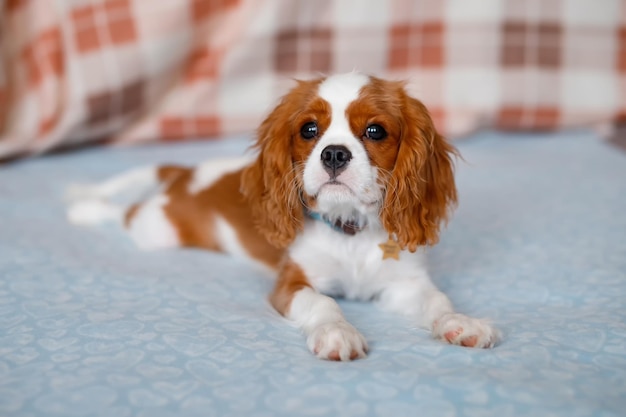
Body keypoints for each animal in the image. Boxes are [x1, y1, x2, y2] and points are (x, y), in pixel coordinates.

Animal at [67, 72, 498, 360]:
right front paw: (337, 333)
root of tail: (187, 172)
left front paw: (462, 322)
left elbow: (437, 300)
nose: (334, 153)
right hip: (157, 229)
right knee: (125, 212)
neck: (349, 230)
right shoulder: (291, 284)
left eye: (375, 131)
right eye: (309, 129)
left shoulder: (404, 284)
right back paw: (86, 208)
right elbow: (323, 303)